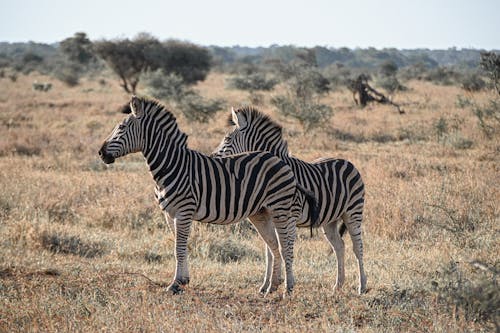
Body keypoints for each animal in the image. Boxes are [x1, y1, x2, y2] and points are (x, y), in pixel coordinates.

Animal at [97, 95, 318, 294]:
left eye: (121, 128)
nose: (101, 153)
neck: (172, 165)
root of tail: (281, 161)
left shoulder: (184, 212)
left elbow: (179, 248)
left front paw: (175, 284)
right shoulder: (169, 214)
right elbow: (180, 247)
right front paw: (183, 281)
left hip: (280, 209)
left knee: (285, 246)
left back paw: (288, 288)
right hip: (261, 213)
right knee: (273, 246)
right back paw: (271, 286)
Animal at [212, 106, 368, 294]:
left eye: (227, 139)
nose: (211, 157)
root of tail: (348, 162)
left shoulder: (289, 217)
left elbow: (285, 249)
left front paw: (286, 284)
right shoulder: (270, 217)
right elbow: (270, 250)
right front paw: (267, 284)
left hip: (353, 212)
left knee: (358, 247)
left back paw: (362, 286)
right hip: (329, 220)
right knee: (339, 246)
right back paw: (338, 285)